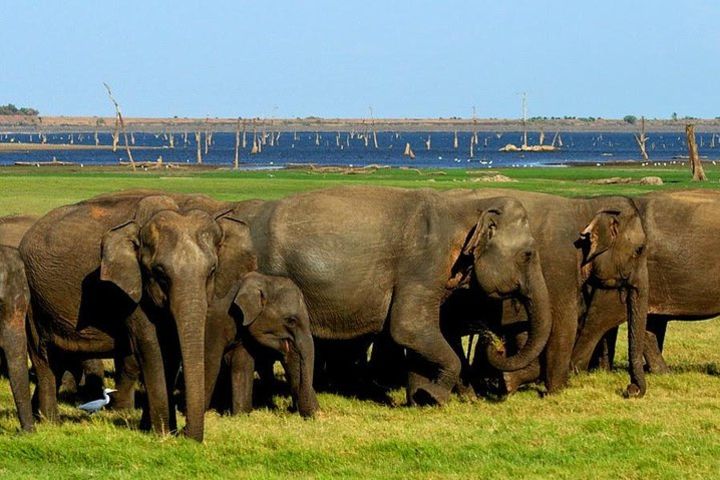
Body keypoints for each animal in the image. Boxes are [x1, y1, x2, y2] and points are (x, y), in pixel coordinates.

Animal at [19, 192, 248, 442]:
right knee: (43, 356)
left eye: (212, 270)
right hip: (32, 299)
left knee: (58, 359)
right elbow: (153, 348)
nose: (187, 434)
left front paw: (153, 429)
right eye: (159, 272)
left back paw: (41, 416)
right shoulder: (130, 291)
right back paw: (51, 423)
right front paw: (162, 434)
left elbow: (171, 351)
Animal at [202, 270, 316, 416]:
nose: (290, 409)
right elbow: (210, 362)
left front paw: (241, 415)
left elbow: (242, 364)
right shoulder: (213, 323)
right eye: (291, 321)